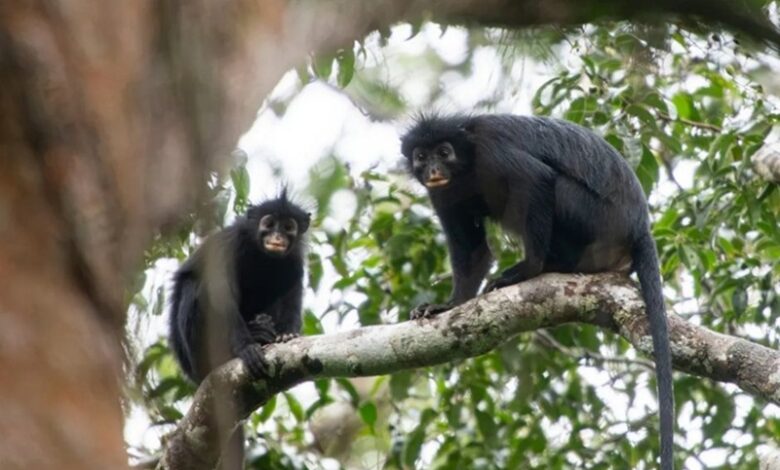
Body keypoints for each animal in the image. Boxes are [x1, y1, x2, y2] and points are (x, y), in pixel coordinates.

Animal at [401, 114, 674, 470]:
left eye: (444, 152)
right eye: (422, 156)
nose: (434, 169)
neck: (467, 162)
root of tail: (639, 225)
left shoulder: (491, 150)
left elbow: (536, 179)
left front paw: (529, 268)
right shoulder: (444, 195)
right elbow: (472, 252)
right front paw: (448, 306)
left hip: (595, 217)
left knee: (554, 186)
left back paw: (549, 265)